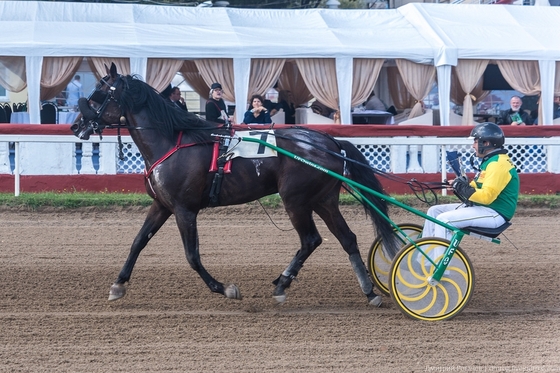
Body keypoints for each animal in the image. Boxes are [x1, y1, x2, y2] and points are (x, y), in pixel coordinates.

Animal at [72, 63, 398, 306]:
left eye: (100, 93)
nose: (76, 125)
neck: (172, 140)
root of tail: (330, 141)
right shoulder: (162, 205)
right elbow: (138, 242)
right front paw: (118, 285)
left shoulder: (184, 209)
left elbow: (192, 256)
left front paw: (225, 288)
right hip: (323, 199)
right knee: (347, 239)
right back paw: (368, 291)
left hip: (296, 200)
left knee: (311, 240)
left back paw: (282, 284)